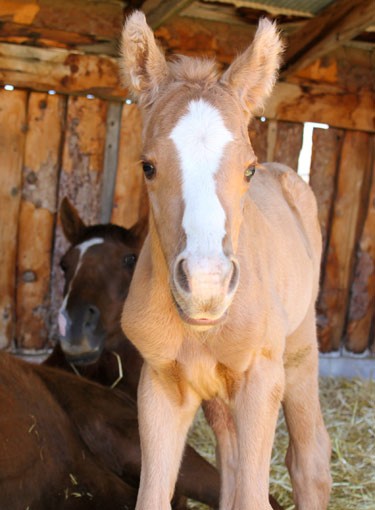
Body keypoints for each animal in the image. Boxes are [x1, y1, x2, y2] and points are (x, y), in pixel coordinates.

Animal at [120, 10, 332, 510]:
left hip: (299, 349)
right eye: (148, 166)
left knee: (309, 458)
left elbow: (255, 496)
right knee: (231, 454)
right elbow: (155, 496)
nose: (206, 285)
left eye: (248, 169)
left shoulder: (261, 377)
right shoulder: (160, 382)